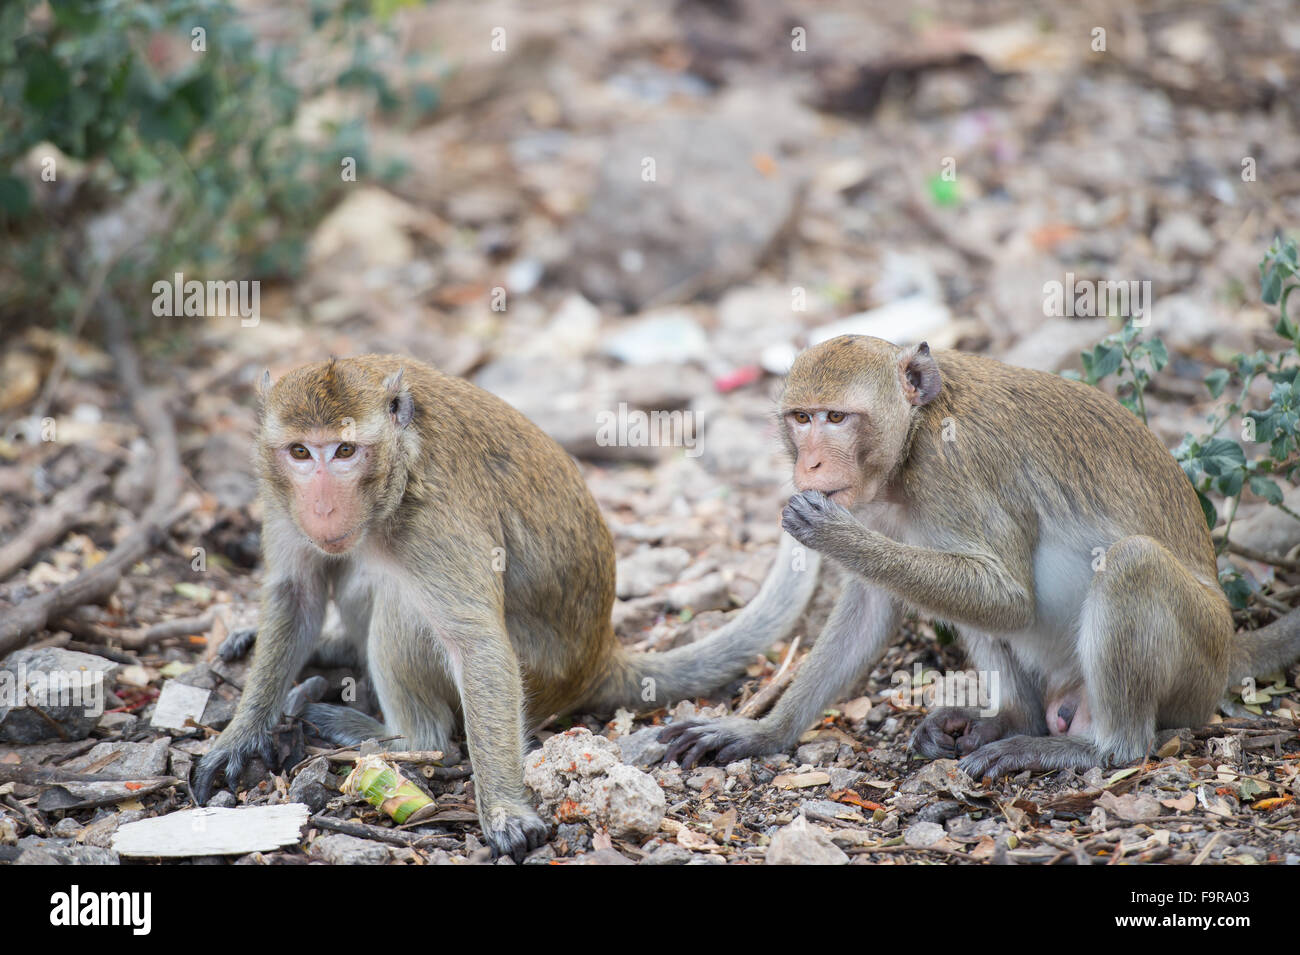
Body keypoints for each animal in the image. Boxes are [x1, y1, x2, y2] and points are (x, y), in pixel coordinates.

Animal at [189, 356, 821, 862]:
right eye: (300, 452)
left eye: (344, 452)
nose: (321, 507)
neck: (399, 467)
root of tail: (599, 655)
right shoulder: (278, 495)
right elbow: (294, 595)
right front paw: (240, 736)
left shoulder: (435, 521)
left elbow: (478, 646)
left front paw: (504, 811)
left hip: (540, 677)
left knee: (405, 614)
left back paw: (398, 739)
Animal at [665, 335, 1300, 779]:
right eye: (802, 418)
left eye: (837, 418)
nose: (810, 464)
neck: (912, 439)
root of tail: (1228, 648)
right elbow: (874, 609)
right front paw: (763, 732)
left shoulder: (955, 465)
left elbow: (1009, 597)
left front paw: (832, 537)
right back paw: (1011, 722)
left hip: (1196, 662)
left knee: (1132, 564)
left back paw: (1089, 749)